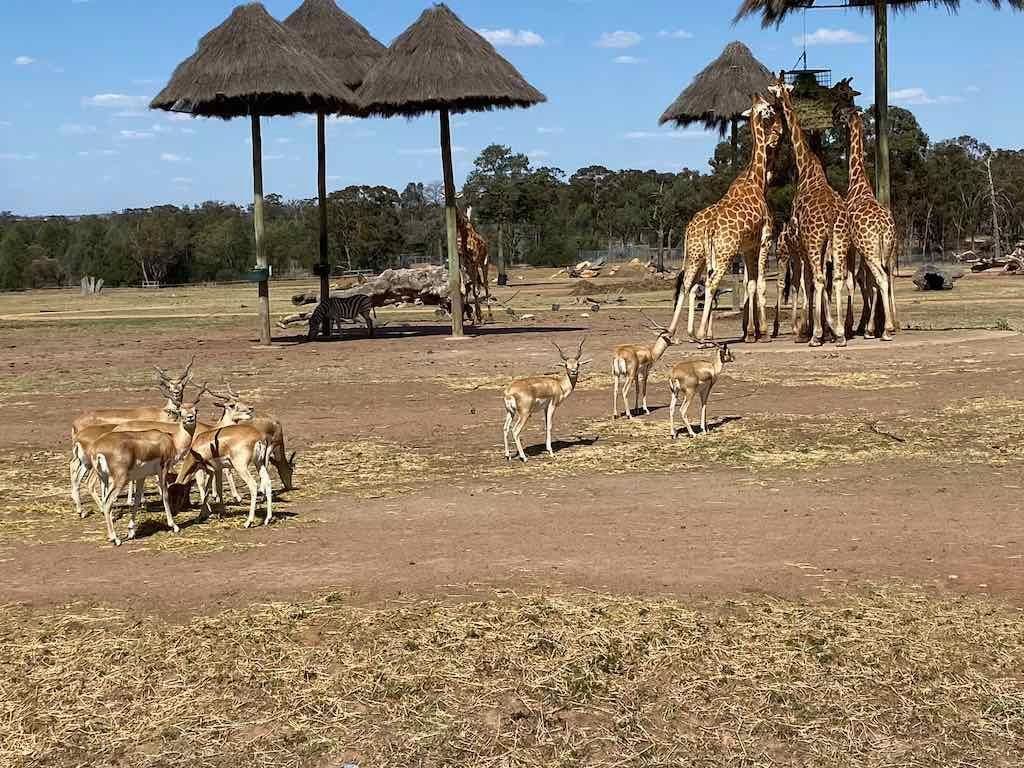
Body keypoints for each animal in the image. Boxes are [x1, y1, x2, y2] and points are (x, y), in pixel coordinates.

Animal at [92, 403, 199, 548]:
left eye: (195, 410)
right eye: (181, 411)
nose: (190, 418)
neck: (172, 441)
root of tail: (98, 449)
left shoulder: (141, 476)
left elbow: (137, 500)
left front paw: (131, 531)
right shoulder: (163, 469)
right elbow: (164, 495)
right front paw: (174, 525)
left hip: (103, 479)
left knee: (104, 501)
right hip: (119, 480)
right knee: (108, 502)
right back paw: (115, 539)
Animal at [770, 72, 851, 348]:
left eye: (774, 92)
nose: (773, 107)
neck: (805, 168)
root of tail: (831, 215)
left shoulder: (803, 242)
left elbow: (807, 282)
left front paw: (812, 330)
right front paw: (830, 328)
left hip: (815, 241)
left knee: (815, 279)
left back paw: (815, 335)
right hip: (839, 239)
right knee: (835, 278)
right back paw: (839, 334)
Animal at [831, 103, 897, 342]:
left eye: (842, 112)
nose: (834, 116)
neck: (858, 183)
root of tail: (882, 227)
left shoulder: (851, 245)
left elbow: (853, 280)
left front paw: (851, 327)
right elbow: (866, 281)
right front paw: (864, 328)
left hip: (870, 250)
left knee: (881, 279)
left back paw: (886, 330)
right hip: (884, 250)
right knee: (884, 279)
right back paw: (882, 328)